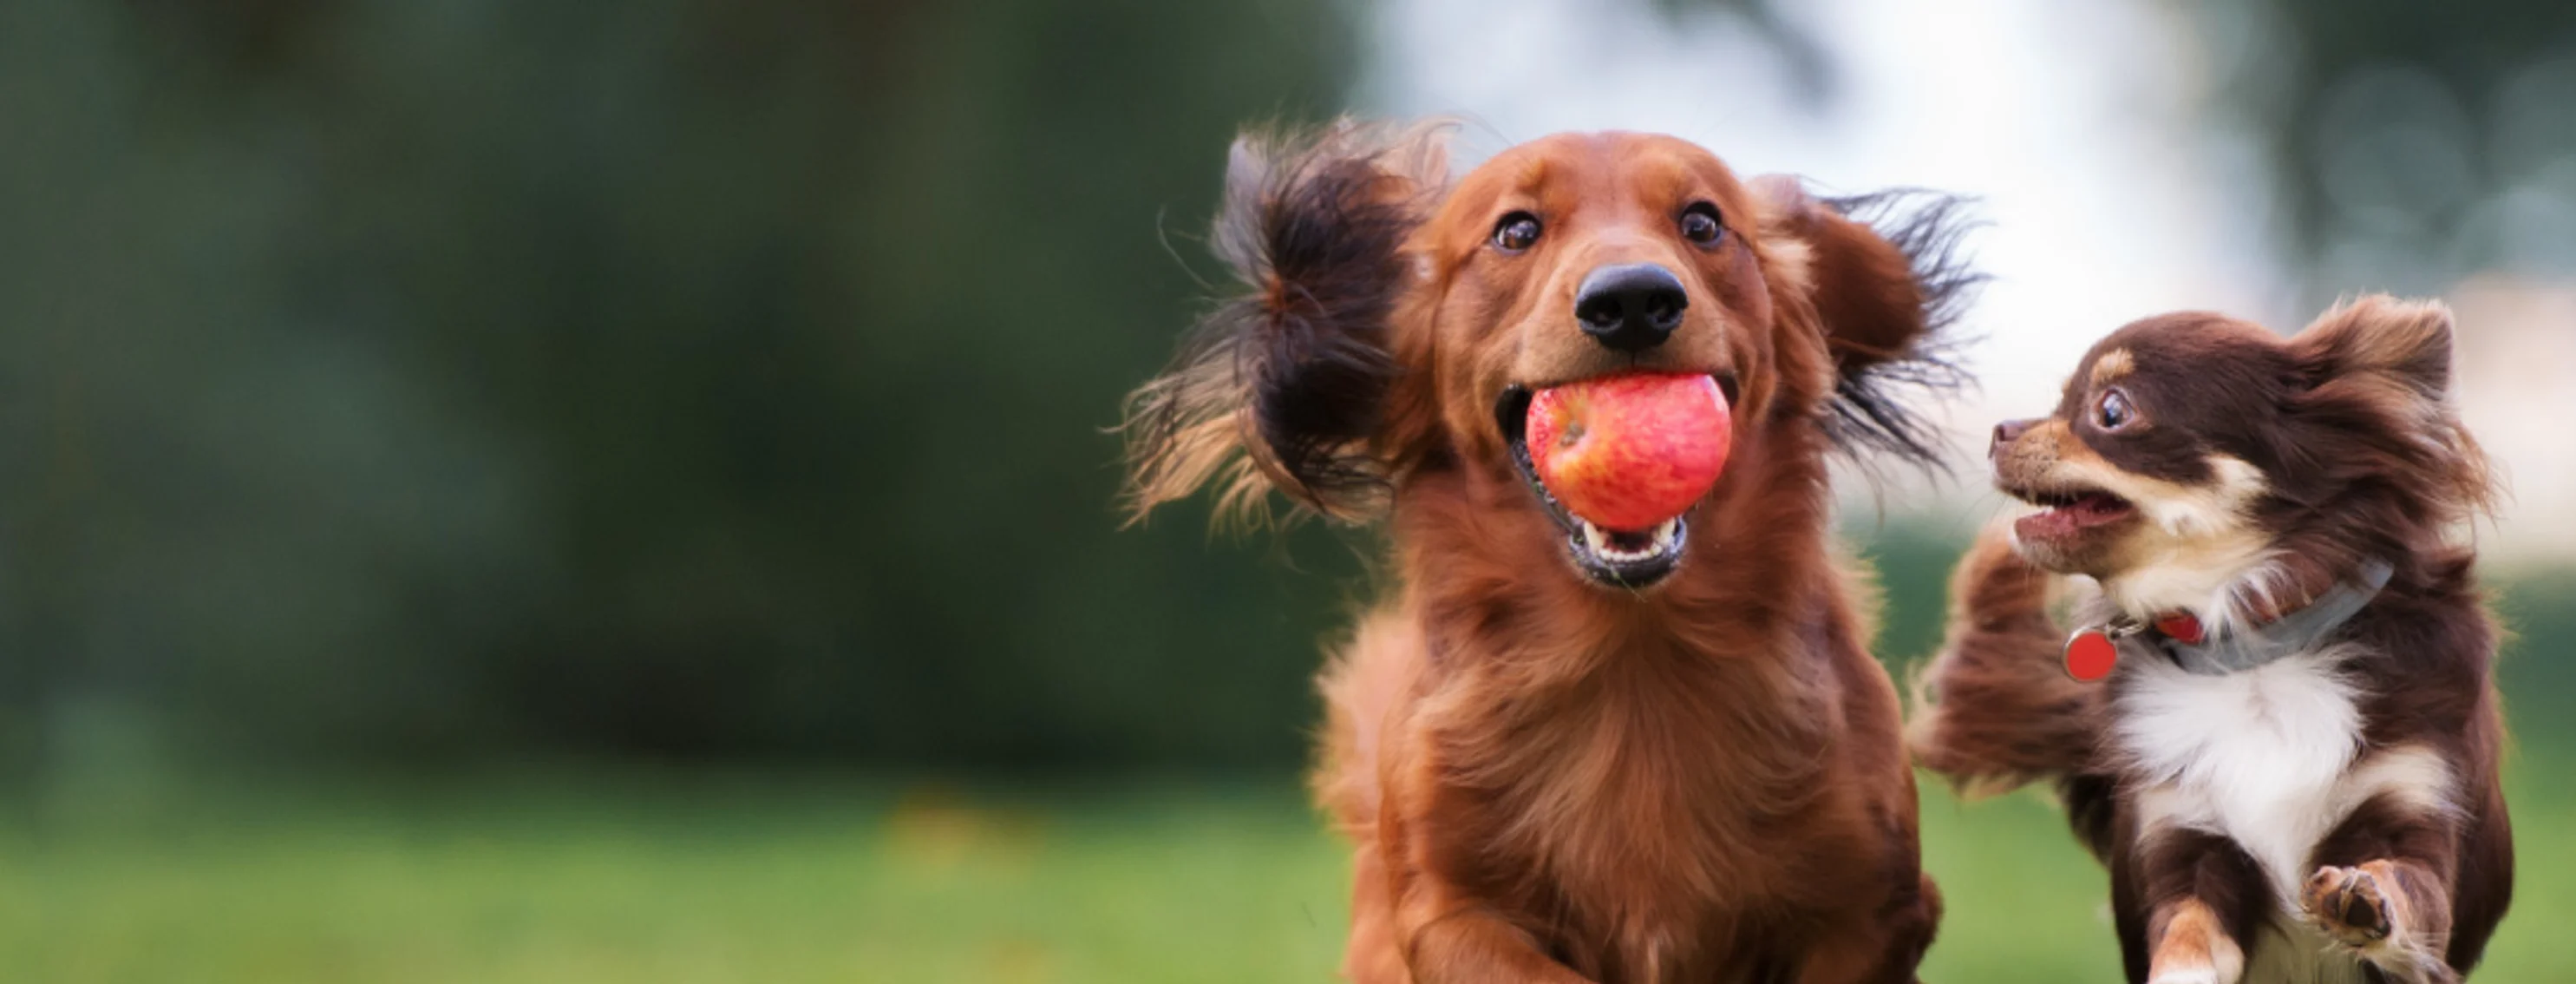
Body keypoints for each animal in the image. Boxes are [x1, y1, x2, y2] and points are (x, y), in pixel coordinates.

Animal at [1122, 119, 1968, 979]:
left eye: (1703, 222)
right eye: (1516, 230)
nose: (1632, 301)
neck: (1634, 657)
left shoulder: (1875, 906)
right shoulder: (1447, 910)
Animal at [1926, 299, 2503, 984]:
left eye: (2111, 410)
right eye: (2060, 399)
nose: (2000, 430)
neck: (2248, 653)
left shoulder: (2413, 813)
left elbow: (2406, 886)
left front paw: (2363, 900)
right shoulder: (2187, 843)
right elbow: (2185, 937)